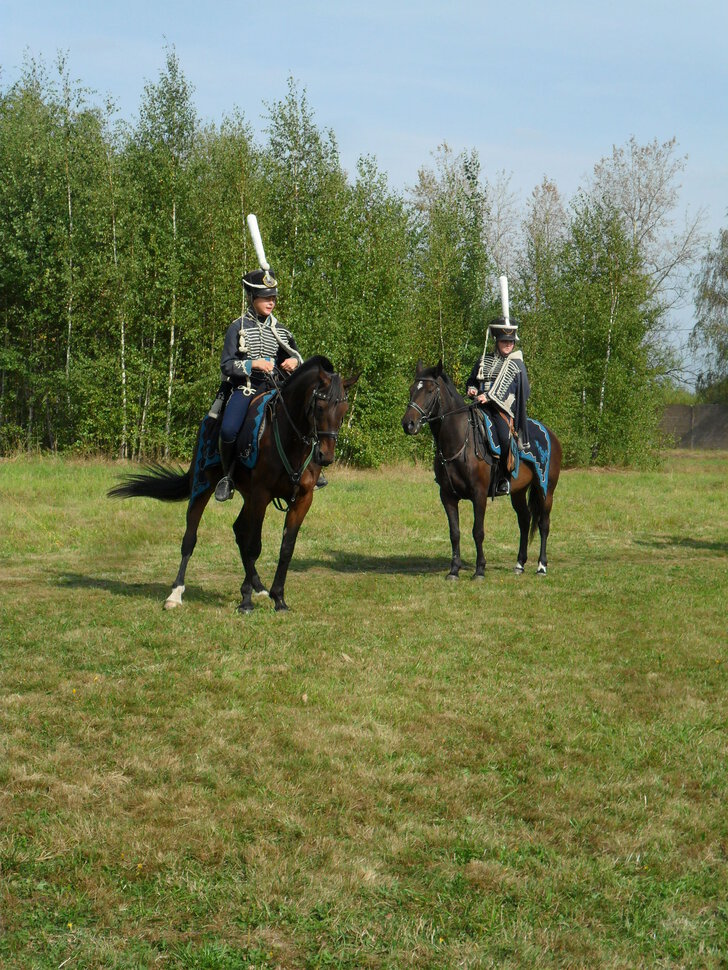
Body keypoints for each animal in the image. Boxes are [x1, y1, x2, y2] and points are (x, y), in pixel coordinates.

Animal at [109, 356, 356, 612]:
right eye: (320, 407)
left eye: (344, 410)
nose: (325, 456)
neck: (291, 441)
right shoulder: (261, 495)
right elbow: (254, 545)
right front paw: (246, 601)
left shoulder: (302, 499)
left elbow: (286, 547)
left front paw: (278, 598)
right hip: (203, 485)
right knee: (191, 537)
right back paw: (176, 593)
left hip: (246, 496)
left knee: (238, 529)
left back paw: (259, 586)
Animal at [400, 362, 560, 576]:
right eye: (412, 389)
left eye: (430, 390)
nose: (408, 424)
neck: (460, 441)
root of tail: (551, 435)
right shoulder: (447, 496)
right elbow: (454, 533)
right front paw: (454, 570)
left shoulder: (479, 494)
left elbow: (478, 531)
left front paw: (480, 570)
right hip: (518, 491)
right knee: (525, 521)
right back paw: (519, 564)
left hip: (546, 489)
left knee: (543, 523)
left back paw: (541, 566)